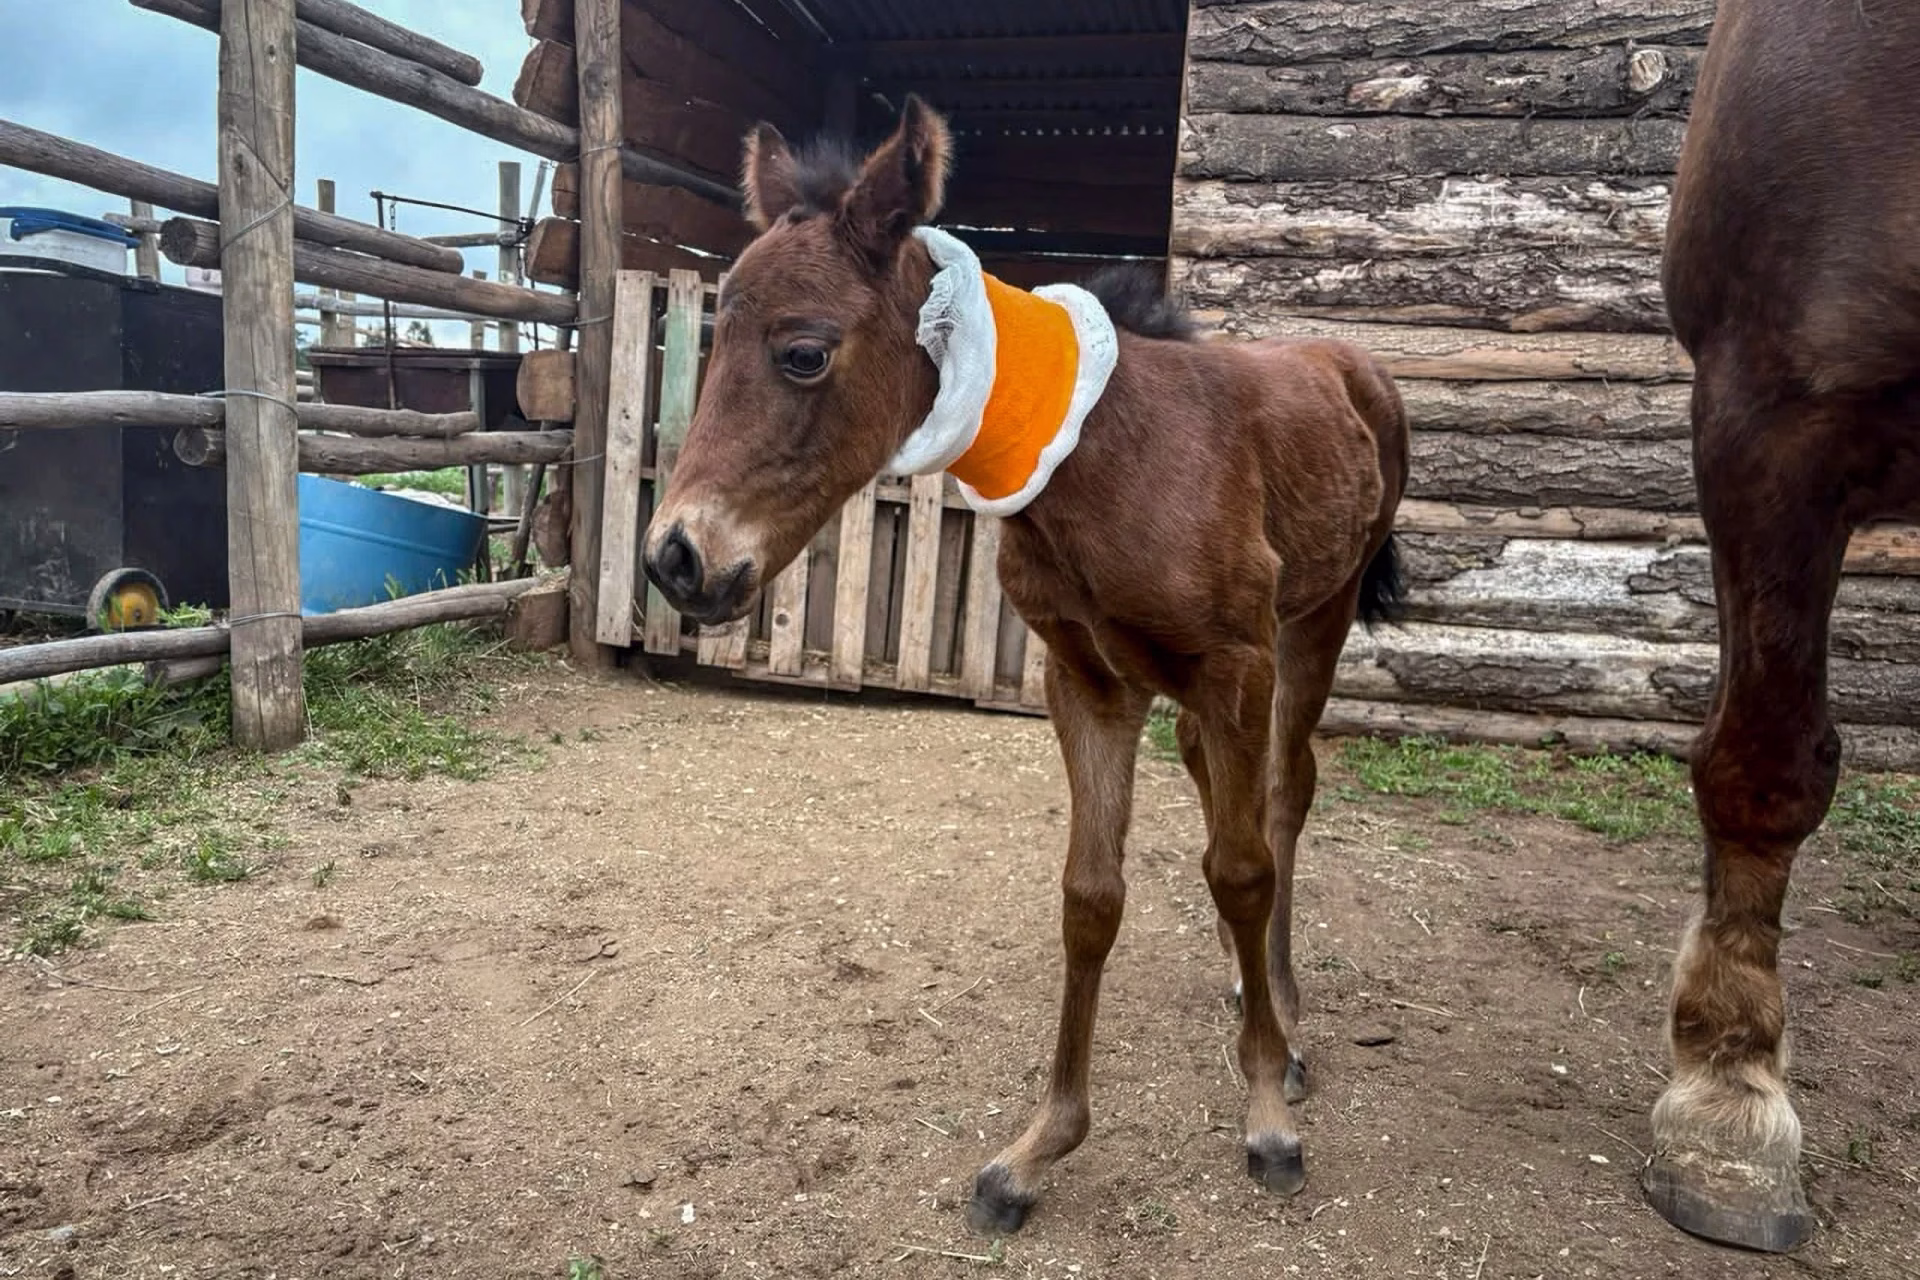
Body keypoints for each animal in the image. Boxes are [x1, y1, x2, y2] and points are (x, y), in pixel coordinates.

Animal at [641, 96, 1410, 1232]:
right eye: (712, 335)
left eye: (804, 353)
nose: (676, 557)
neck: (1109, 456)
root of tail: (1352, 368)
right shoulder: (1085, 678)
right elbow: (1091, 896)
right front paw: (1036, 1150)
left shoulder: (1236, 661)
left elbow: (1240, 866)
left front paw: (1268, 1111)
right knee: (1218, 787)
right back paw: (1244, 987)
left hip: (1316, 623)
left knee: (1282, 800)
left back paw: (1286, 1016)